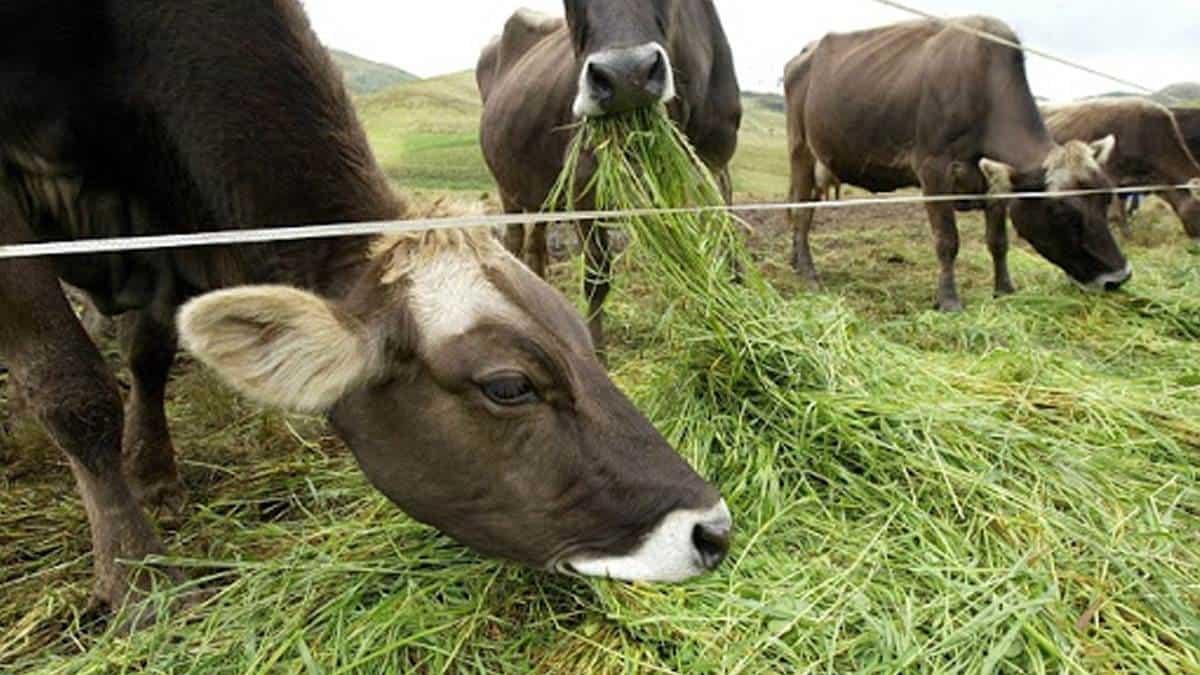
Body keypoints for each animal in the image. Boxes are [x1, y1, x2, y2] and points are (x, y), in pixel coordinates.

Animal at [782, 16, 1128, 309]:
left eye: (1106, 198)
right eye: (1062, 211)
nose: (1119, 278)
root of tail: (805, 52)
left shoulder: (993, 181)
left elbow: (998, 241)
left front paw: (1004, 290)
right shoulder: (933, 169)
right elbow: (947, 241)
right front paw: (949, 301)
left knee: (807, 206)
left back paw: (796, 261)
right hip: (801, 149)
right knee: (801, 210)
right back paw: (809, 273)